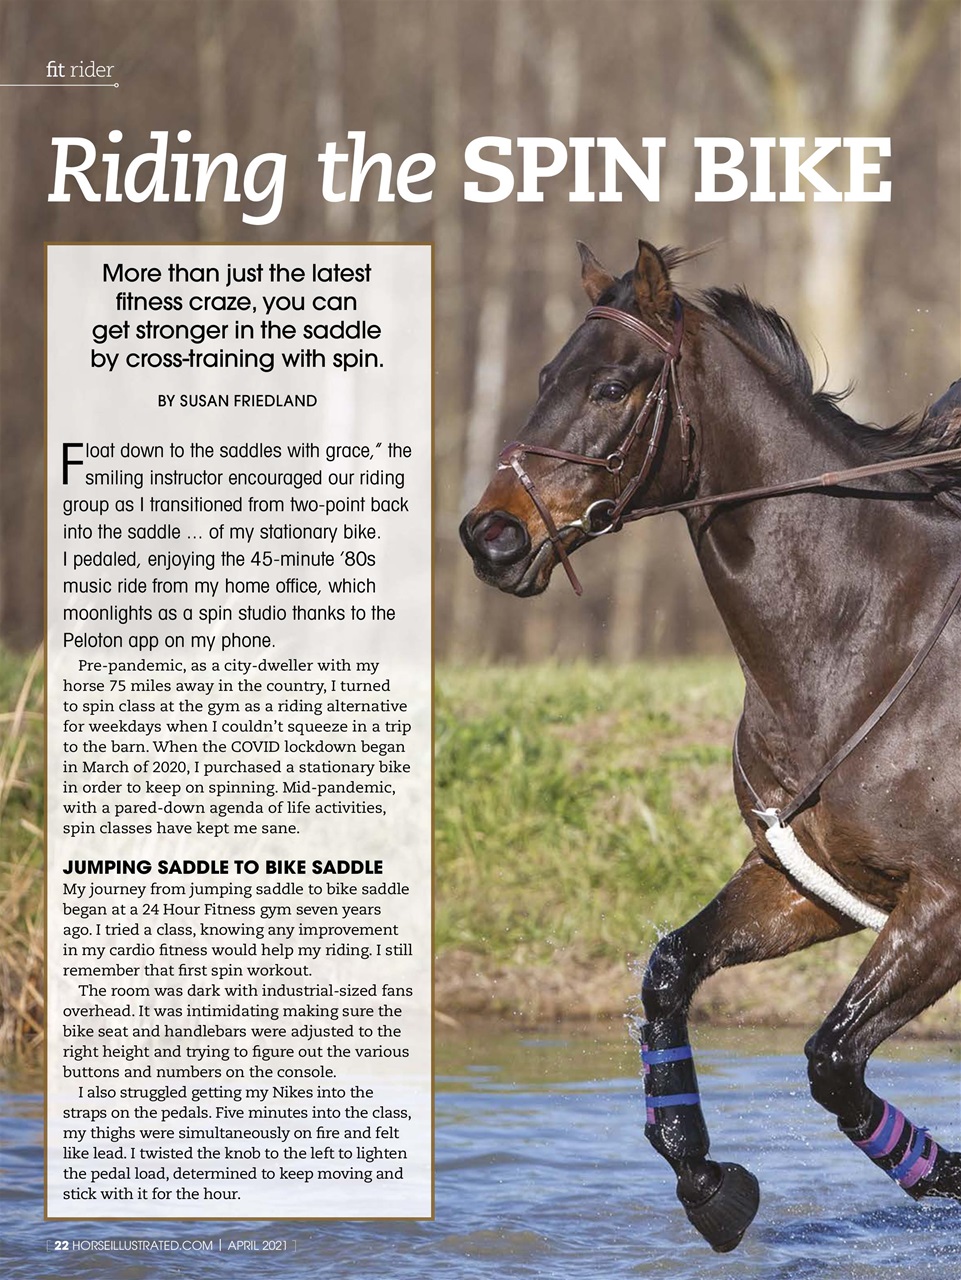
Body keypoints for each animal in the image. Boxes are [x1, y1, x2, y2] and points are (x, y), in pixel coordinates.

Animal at [459, 239, 961, 1252]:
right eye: (545, 377)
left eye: (612, 386)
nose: (488, 537)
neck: (864, 636)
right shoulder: (809, 885)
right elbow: (668, 977)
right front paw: (706, 1182)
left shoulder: (943, 905)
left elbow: (831, 1059)